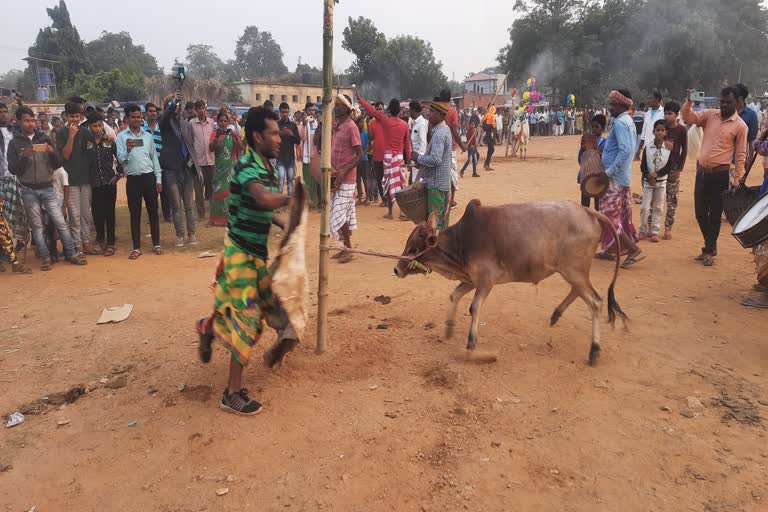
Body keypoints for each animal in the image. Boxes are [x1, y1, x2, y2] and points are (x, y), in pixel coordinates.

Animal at [392, 199, 628, 364]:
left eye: (413, 248)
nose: (396, 269)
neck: (462, 241)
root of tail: (588, 211)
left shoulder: (486, 280)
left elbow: (474, 307)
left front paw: (471, 344)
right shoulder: (471, 280)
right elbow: (455, 295)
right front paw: (449, 328)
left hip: (574, 270)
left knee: (595, 301)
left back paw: (594, 351)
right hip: (573, 272)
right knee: (579, 292)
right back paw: (555, 315)